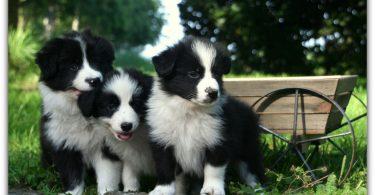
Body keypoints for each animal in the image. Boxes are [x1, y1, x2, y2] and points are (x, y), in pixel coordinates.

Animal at [36, 29, 121, 194]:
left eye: (96, 63)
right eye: (73, 67)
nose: (95, 80)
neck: (81, 113)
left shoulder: (107, 145)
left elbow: (107, 174)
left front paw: (107, 191)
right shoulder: (63, 143)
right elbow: (72, 175)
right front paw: (72, 192)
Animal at [147, 37, 268, 195]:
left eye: (216, 74)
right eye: (193, 74)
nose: (213, 93)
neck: (190, 111)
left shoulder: (218, 139)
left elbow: (213, 169)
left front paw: (212, 189)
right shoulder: (162, 140)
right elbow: (164, 168)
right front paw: (162, 190)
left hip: (248, 147)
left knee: (252, 168)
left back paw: (258, 188)